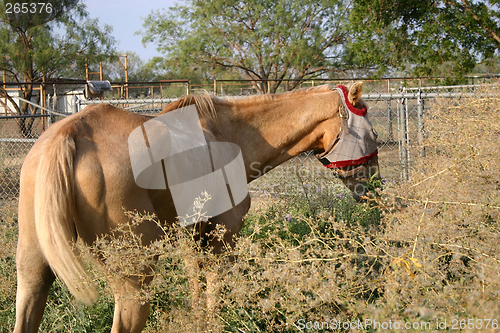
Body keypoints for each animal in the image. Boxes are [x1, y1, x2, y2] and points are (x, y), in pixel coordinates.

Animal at [13, 81, 378, 330]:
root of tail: (69, 133)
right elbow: (215, 296)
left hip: (33, 273)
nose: (373, 189)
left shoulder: (191, 238)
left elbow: (196, 292)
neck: (228, 135)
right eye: (372, 133)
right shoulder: (223, 238)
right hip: (136, 279)